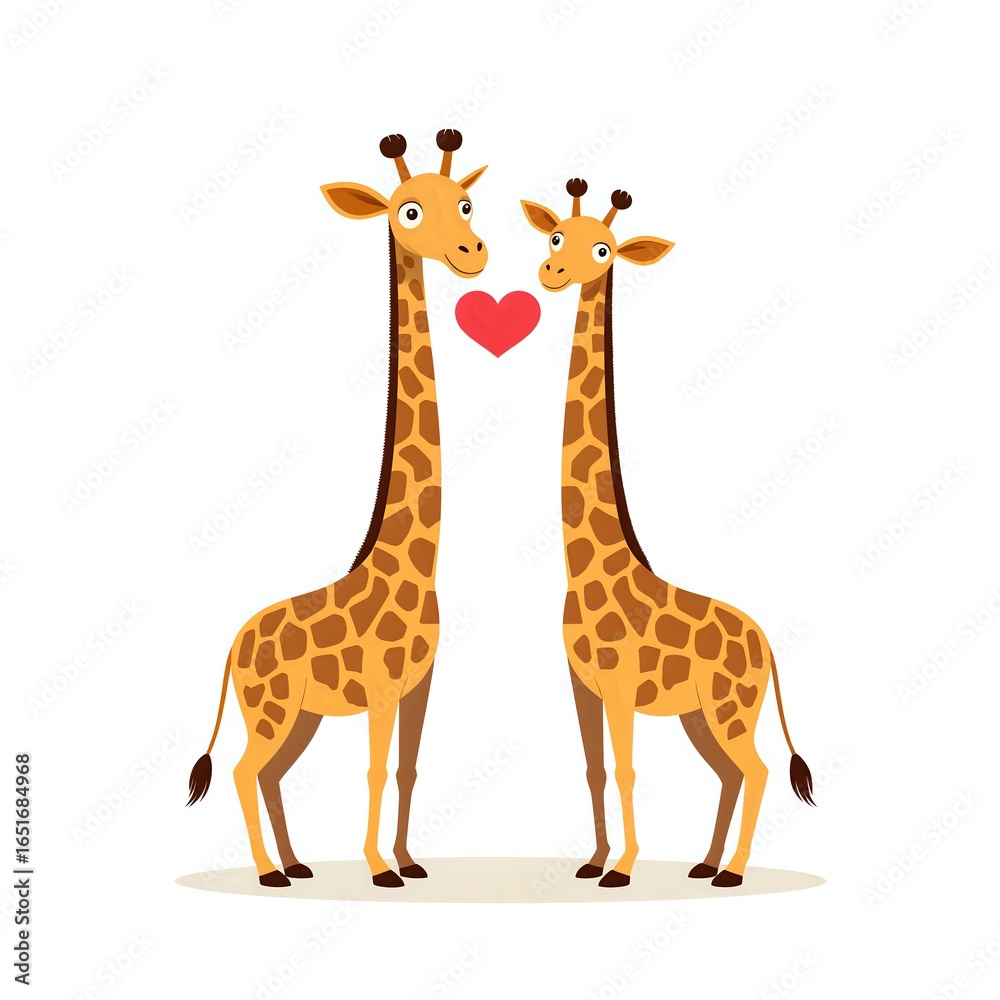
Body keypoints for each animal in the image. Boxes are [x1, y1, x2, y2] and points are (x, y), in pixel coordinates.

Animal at [186, 130, 488, 888]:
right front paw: (381, 869)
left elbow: (407, 770)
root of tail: (234, 645)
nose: (473, 252)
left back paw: (296, 865)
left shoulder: (419, 685)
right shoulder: (379, 688)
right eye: (409, 211)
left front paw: (409, 862)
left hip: (299, 715)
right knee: (244, 771)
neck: (415, 569)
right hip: (269, 710)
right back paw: (270, 873)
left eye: (466, 202)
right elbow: (376, 771)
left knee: (270, 775)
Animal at [521, 179, 815, 888]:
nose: (552, 272)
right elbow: (596, 769)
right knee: (730, 773)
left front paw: (621, 870)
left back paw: (731, 872)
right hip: (699, 714)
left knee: (757, 769)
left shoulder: (623, 684)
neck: (582, 570)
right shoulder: (583, 684)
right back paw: (706, 864)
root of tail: (767, 644)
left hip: (730, 708)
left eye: (603, 248)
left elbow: (628, 769)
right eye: (554, 236)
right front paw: (593, 861)